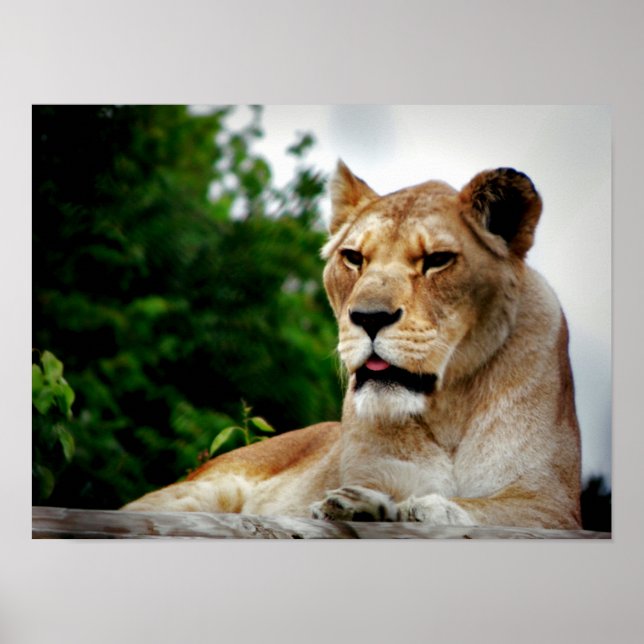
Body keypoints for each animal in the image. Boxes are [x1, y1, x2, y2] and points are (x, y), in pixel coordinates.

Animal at [122, 161, 582, 529]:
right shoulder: (373, 470)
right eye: (354, 258)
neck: (448, 407)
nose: (369, 318)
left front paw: (420, 507)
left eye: (437, 260)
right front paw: (360, 505)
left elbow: (487, 508)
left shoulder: (552, 502)